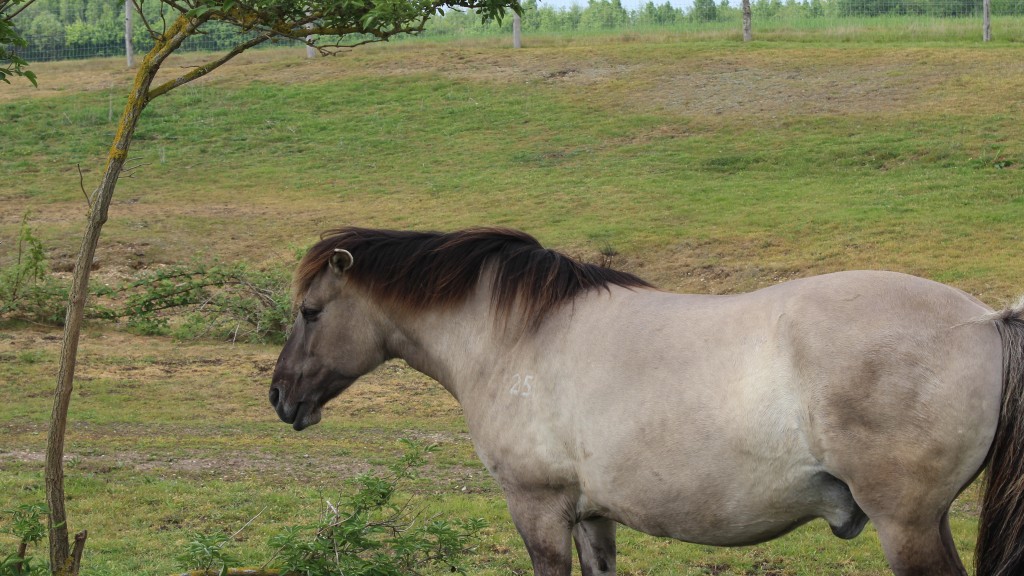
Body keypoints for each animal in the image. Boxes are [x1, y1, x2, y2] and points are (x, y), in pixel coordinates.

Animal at [270, 225, 1024, 573]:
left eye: (310, 311)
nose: (280, 398)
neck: (516, 337)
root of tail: (984, 319)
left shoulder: (538, 510)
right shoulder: (589, 516)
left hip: (908, 526)